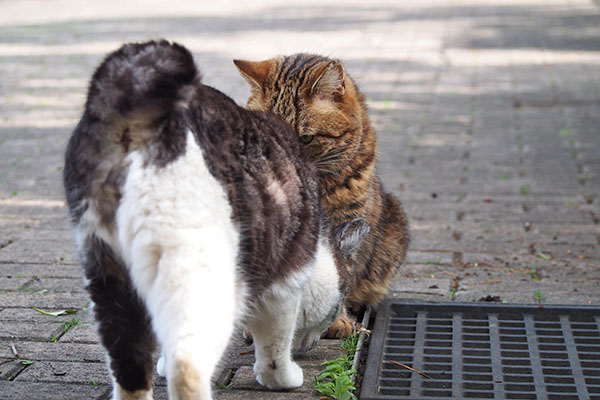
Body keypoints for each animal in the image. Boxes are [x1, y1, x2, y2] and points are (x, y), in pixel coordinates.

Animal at [63, 41, 368, 400]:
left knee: (129, 364)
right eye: (336, 309)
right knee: (188, 363)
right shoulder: (285, 283)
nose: (312, 344)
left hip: (108, 273)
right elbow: (275, 341)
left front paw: (161, 363)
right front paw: (282, 377)